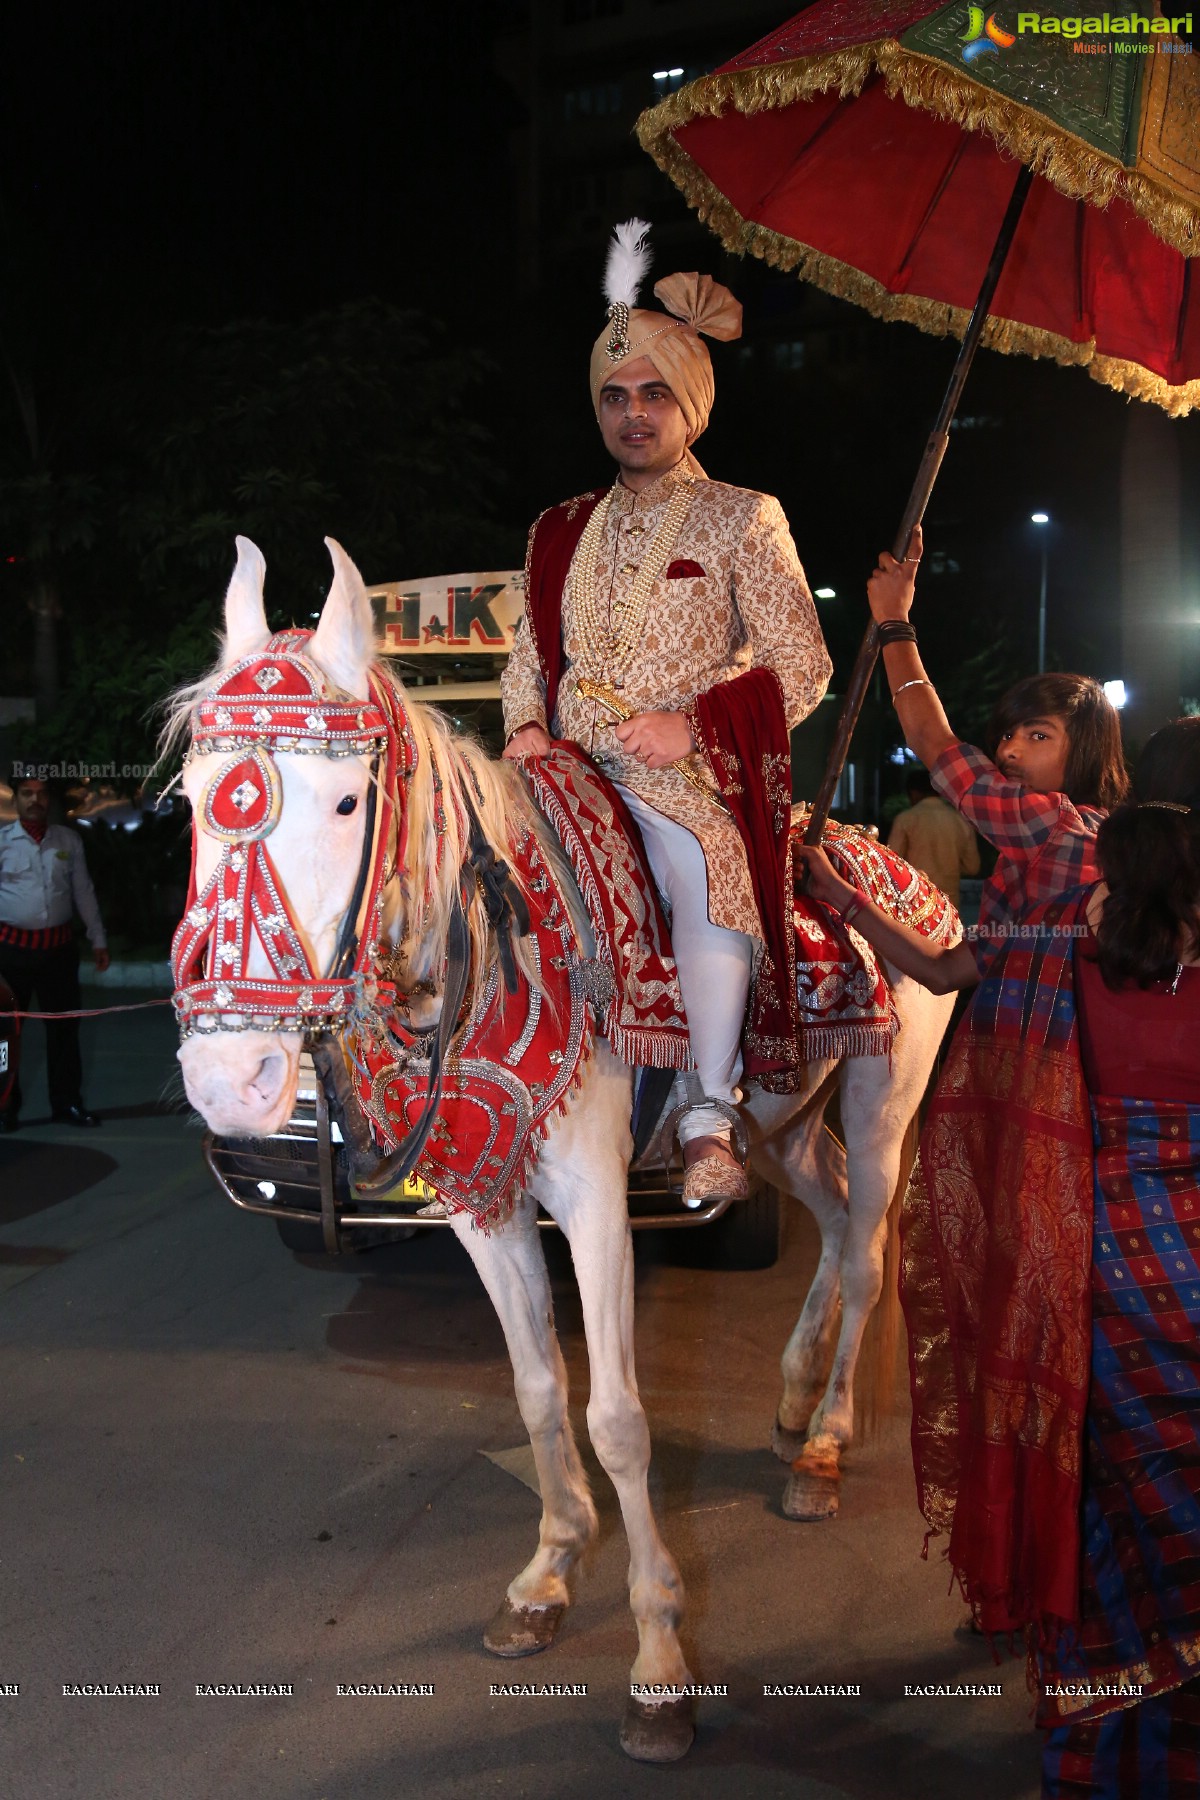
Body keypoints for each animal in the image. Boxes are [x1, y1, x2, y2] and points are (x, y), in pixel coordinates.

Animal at [170, 540, 957, 1764]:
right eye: (197, 798)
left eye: (347, 798)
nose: (230, 1078)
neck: (498, 947)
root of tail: (882, 861)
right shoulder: (484, 1206)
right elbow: (539, 1388)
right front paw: (545, 1577)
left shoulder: (594, 1203)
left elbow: (619, 1420)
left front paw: (660, 1662)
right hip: (780, 1127)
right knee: (828, 1220)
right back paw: (790, 1399)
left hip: (886, 1095)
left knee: (871, 1248)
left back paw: (825, 1444)